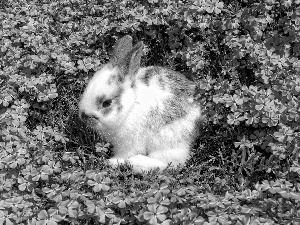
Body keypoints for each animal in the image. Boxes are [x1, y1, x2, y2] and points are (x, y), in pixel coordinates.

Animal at [78, 35, 203, 173]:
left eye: (107, 103)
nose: (83, 116)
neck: (132, 106)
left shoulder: (129, 143)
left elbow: (125, 154)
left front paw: (112, 162)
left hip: (166, 141)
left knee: (171, 163)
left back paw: (137, 163)